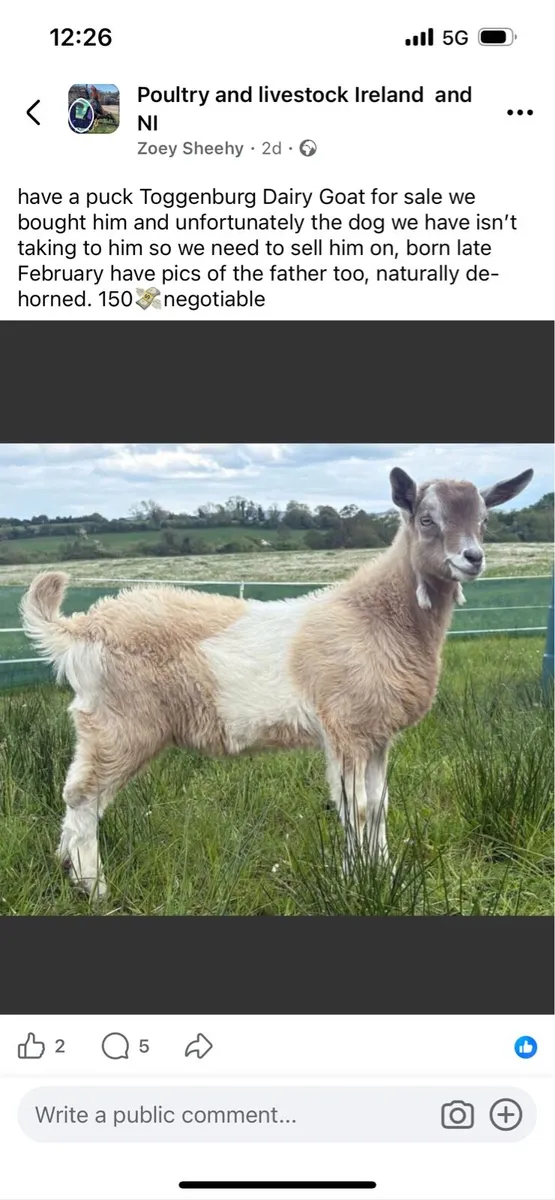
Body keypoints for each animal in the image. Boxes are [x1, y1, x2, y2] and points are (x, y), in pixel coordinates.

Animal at [20, 467, 533, 899]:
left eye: (485, 520)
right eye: (427, 519)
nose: (472, 558)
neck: (376, 615)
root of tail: (83, 627)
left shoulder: (376, 734)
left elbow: (379, 805)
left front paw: (383, 874)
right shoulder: (346, 727)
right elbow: (355, 808)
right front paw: (358, 883)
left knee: (76, 794)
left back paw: (67, 868)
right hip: (119, 724)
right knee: (83, 796)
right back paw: (94, 887)